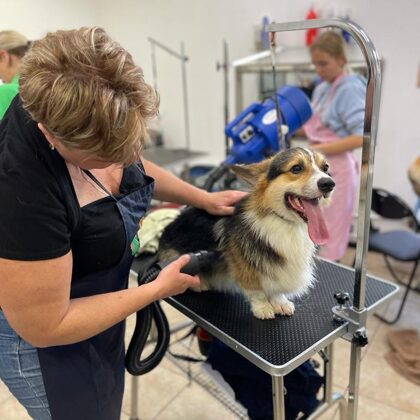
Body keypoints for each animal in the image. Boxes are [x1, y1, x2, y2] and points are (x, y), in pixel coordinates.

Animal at [158, 147, 335, 319]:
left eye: (325, 168)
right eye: (296, 168)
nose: (329, 184)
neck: (285, 222)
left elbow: (275, 289)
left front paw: (279, 302)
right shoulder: (244, 265)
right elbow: (256, 290)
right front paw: (263, 308)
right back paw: (200, 282)